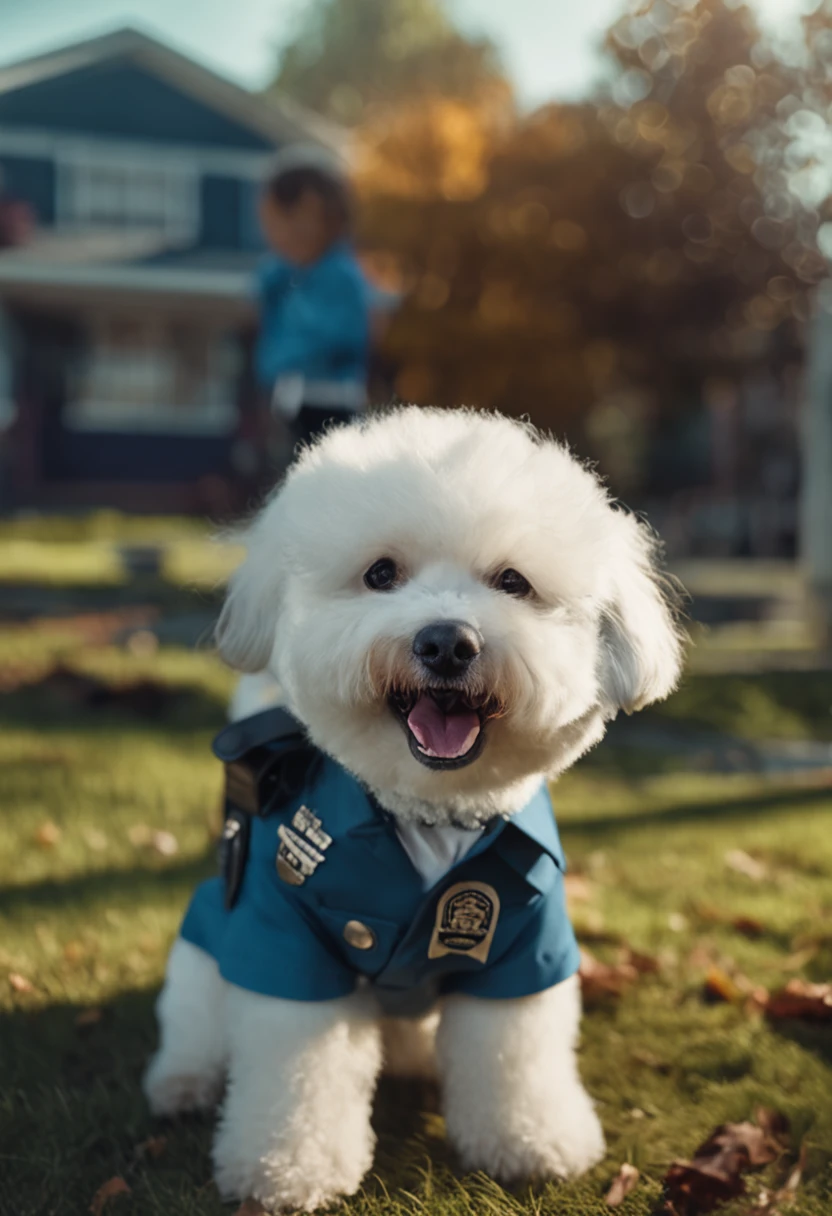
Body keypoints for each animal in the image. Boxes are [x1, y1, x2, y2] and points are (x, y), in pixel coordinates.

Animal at [144, 406, 681, 1206]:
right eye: (380, 574)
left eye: (512, 582)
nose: (447, 642)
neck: (429, 818)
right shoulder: (286, 944)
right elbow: (296, 1074)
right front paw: (287, 1169)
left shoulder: (524, 952)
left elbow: (515, 1058)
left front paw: (531, 1142)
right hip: (207, 949)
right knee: (195, 1024)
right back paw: (182, 1082)